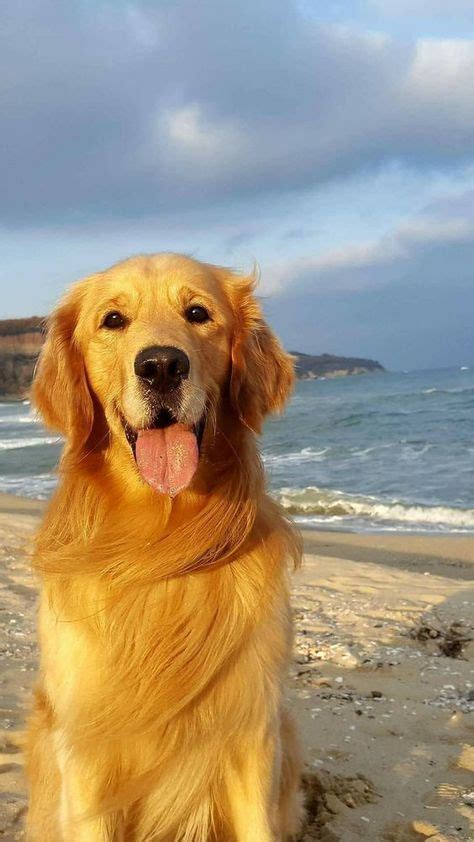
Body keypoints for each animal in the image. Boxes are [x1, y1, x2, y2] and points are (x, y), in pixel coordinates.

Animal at [25, 253, 302, 836]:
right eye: (113, 320)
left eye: (197, 313)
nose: (160, 367)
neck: (159, 547)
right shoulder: (86, 755)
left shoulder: (252, 734)